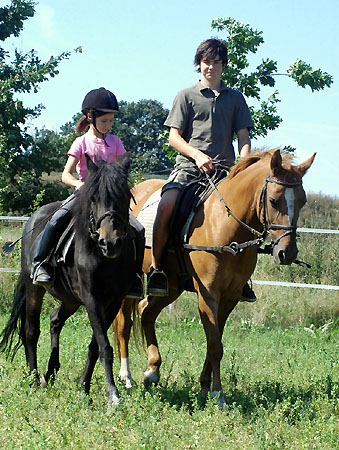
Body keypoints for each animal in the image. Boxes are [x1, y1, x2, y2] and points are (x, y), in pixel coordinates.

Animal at [0, 154, 135, 408]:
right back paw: (34, 379)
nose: (110, 243)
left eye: (125, 196)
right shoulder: (92, 298)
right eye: (94, 199)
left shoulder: (113, 301)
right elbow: (104, 346)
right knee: (31, 331)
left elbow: (95, 346)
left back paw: (50, 373)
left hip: (71, 298)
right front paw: (112, 395)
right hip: (34, 289)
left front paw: (84, 388)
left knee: (55, 320)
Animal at [116, 149, 316, 406]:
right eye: (273, 200)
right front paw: (218, 395)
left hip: (172, 286)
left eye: (303, 201)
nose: (287, 253)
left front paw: (205, 388)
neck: (226, 226)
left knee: (146, 311)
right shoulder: (208, 294)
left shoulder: (230, 297)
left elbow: (215, 342)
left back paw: (152, 371)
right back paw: (126, 376)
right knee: (124, 323)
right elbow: (215, 345)